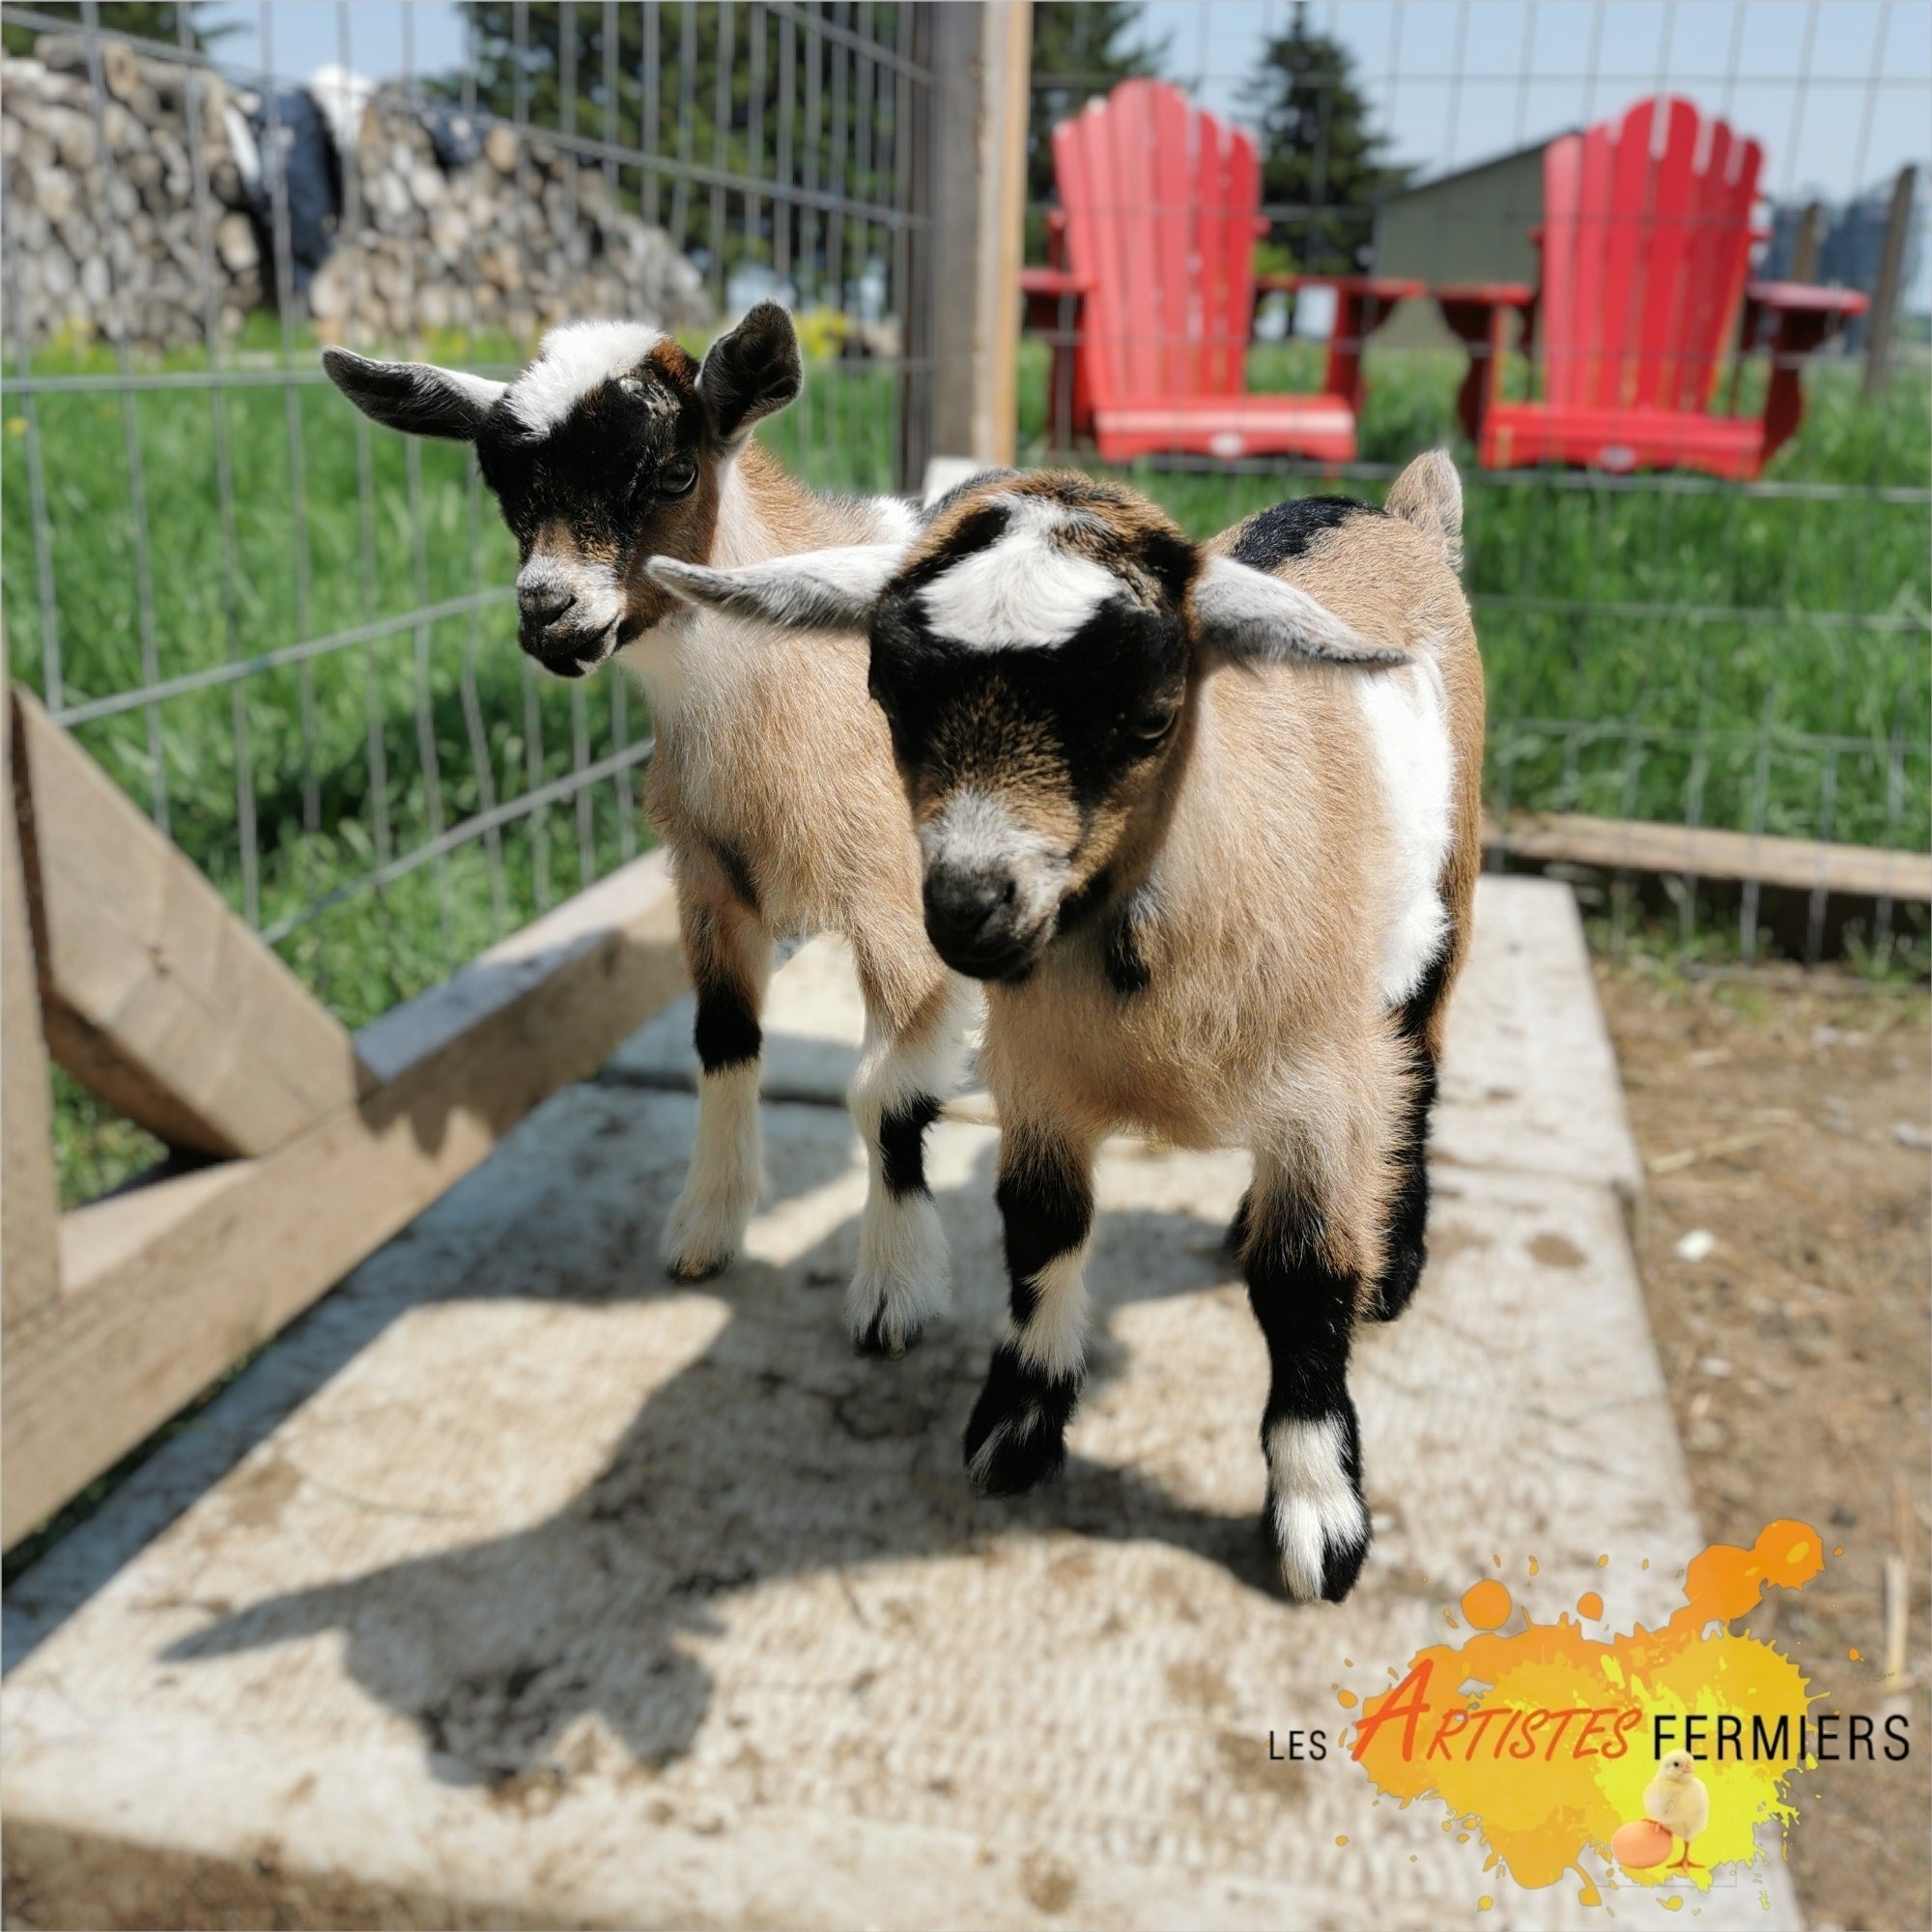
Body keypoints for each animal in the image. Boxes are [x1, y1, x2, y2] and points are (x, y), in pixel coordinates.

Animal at [322, 305, 970, 1355]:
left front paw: (894, 1292)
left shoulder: (897, 908)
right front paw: (705, 1229)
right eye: (503, 487)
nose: (549, 612)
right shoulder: (709, 884)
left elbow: (886, 1094)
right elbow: (722, 1039)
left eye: (673, 472)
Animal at [646, 452, 1483, 1602]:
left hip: (1445, 896)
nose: (966, 906)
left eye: (1150, 717)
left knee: (1420, 1062)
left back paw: (1393, 1263)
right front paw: (1017, 1428)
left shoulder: (1319, 1083)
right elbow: (1041, 1228)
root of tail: (1389, 511)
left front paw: (1319, 1517)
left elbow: (1302, 1280)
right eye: (886, 695)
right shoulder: (1036, 1080)